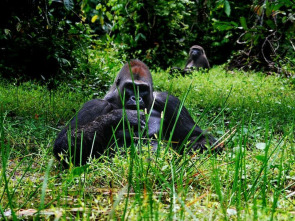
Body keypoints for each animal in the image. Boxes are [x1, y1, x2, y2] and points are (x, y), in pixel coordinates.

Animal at [53, 59, 217, 165]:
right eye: (130, 87)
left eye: (142, 89)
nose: (136, 98)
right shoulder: (95, 105)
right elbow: (65, 145)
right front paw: (121, 116)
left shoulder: (170, 101)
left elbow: (196, 135)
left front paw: (197, 148)